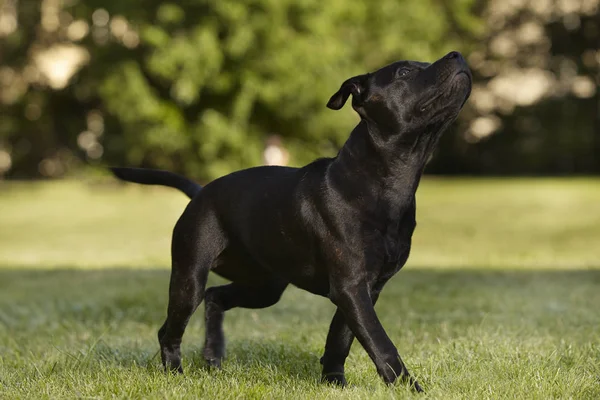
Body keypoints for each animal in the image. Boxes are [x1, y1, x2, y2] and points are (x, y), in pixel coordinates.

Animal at [110, 50, 472, 390]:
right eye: (404, 72)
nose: (457, 55)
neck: (384, 180)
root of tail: (200, 192)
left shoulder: (366, 288)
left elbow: (342, 338)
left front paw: (334, 383)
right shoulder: (352, 287)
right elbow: (380, 343)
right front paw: (410, 389)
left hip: (265, 285)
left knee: (215, 297)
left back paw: (213, 355)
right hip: (190, 280)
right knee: (171, 327)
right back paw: (176, 373)